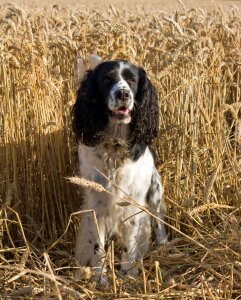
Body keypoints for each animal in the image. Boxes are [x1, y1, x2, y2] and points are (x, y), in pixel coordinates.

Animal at [71, 59, 168, 280]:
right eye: (107, 80)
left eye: (132, 80)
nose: (123, 94)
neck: (115, 146)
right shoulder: (96, 204)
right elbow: (97, 246)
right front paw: (100, 278)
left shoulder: (133, 201)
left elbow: (130, 243)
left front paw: (128, 274)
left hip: (155, 191)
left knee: (158, 222)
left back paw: (165, 248)